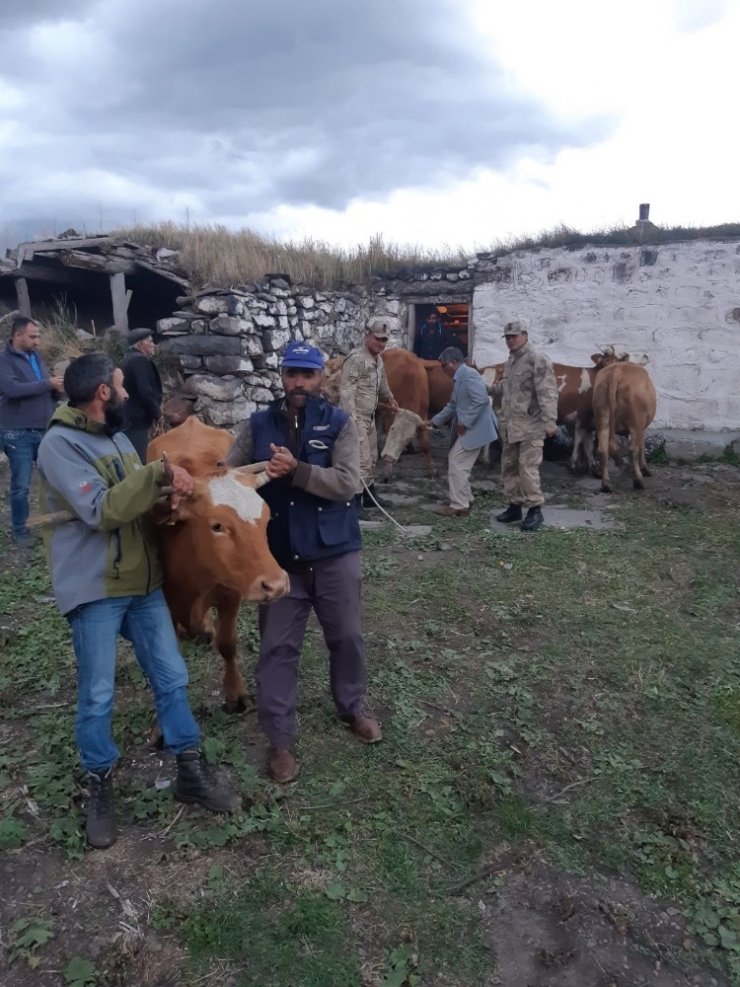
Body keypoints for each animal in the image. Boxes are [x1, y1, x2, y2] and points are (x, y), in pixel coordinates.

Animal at [147, 416, 290, 712]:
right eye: (217, 526)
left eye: (267, 517)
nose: (276, 585)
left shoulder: (231, 593)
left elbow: (227, 644)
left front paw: (236, 693)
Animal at [592, 360, 656, 492]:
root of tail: (617, 371)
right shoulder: (642, 427)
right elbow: (642, 446)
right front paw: (645, 469)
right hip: (636, 422)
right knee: (633, 450)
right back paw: (638, 481)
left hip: (602, 419)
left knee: (602, 450)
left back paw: (605, 484)